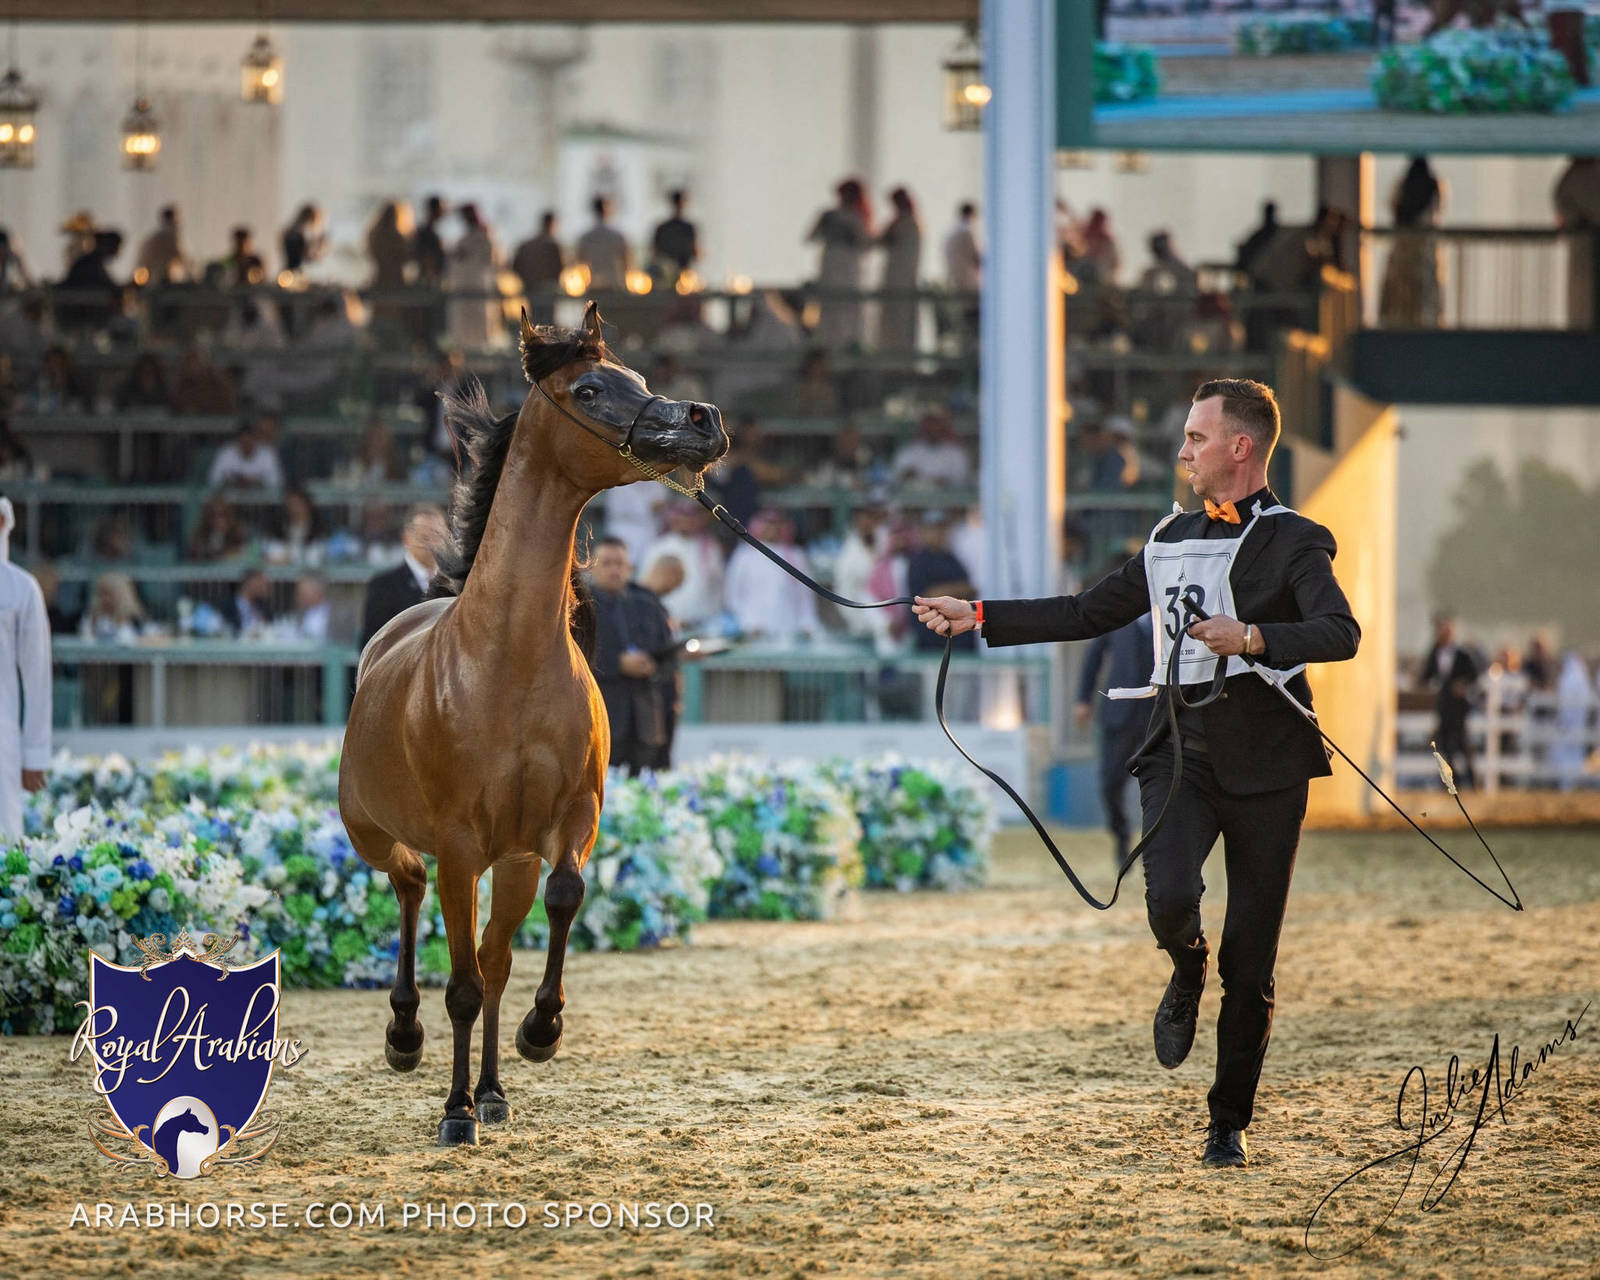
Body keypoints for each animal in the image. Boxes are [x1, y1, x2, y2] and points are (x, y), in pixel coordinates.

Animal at [337, 302, 728, 1145]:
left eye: (636, 377)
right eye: (590, 389)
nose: (704, 421)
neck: (506, 661)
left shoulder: (567, 820)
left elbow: (561, 901)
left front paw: (539, 1034)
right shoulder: (458, 844)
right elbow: (458, 980)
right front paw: (453, 1113)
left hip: (507, 861)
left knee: (494, 960)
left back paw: (490, 1089)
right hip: (377, 833)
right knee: (409, 889)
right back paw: (409, 1040)